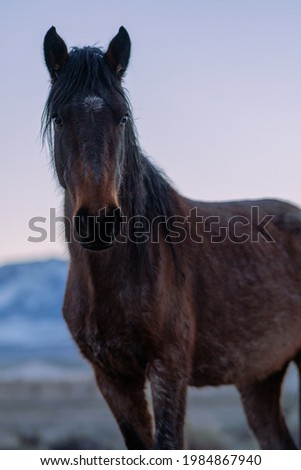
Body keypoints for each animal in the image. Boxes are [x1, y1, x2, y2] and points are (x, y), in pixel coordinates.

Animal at [42, 26, 301, 452]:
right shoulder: (112, 378)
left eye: (122, 117)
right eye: (59, 118)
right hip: (261, 376)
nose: (98, 222)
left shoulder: (169, 369)